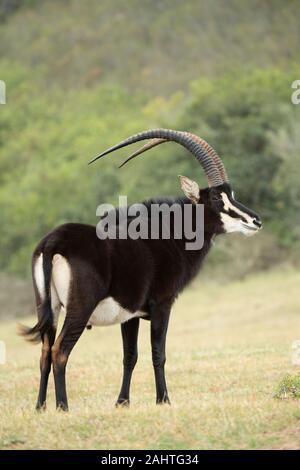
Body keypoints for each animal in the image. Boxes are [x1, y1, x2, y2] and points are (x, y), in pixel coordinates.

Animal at [21, 126, 262, 410]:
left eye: (231, 194)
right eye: (215, 197)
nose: (255, 220)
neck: (168, 235)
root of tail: (52, 242)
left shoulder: (131, 314)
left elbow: (130, 356)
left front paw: (122, 402)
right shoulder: (162, 304)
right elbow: (159, 353)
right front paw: (164, 400)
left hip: (48, 307)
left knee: (45, 352)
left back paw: (40, 407)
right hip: (79, 308)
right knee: (60, 351)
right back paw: (63, 407)